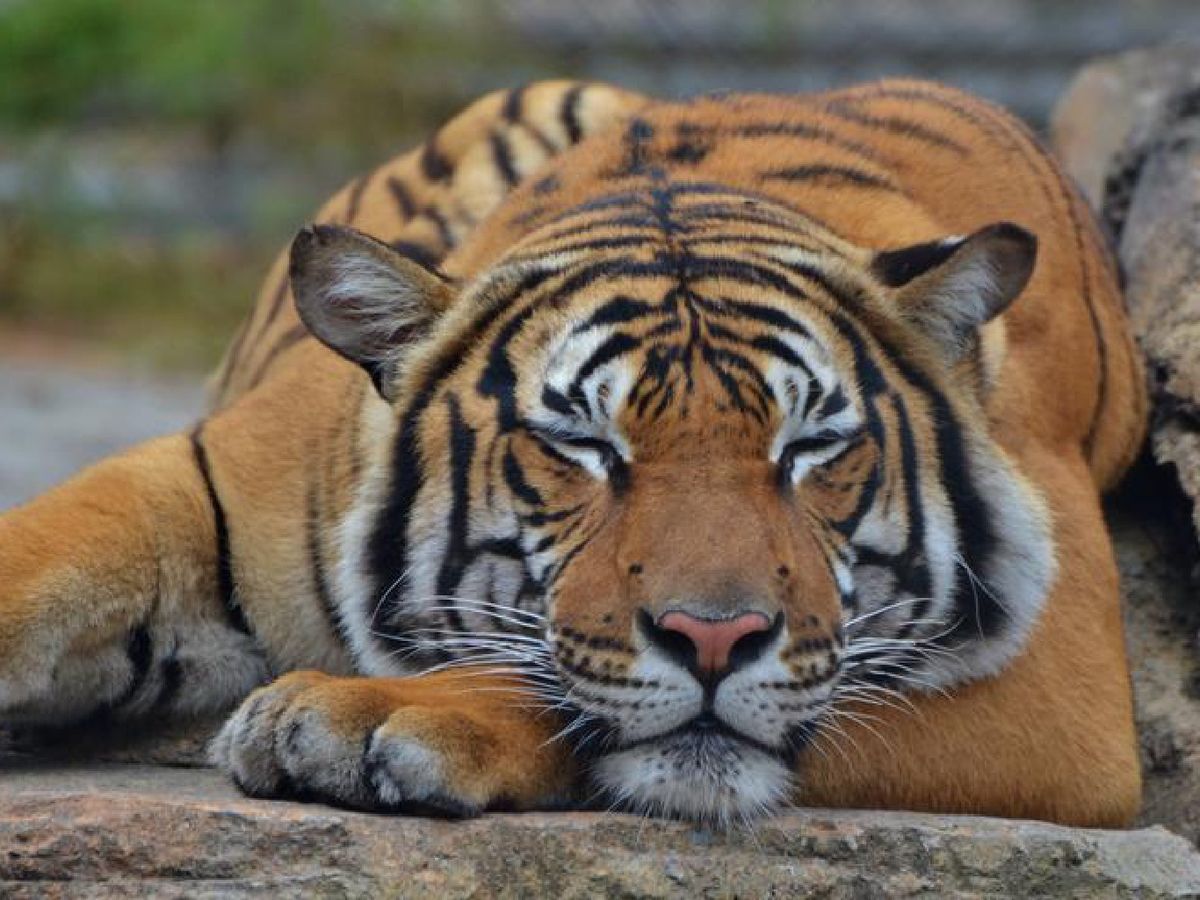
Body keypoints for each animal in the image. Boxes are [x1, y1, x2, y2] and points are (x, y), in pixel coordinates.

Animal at [0, 79, 1147, 827]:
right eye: (585, 447)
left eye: (811, 448)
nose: (717, 638)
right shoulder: (228, 478)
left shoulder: (1069, 689)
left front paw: (352, 717)